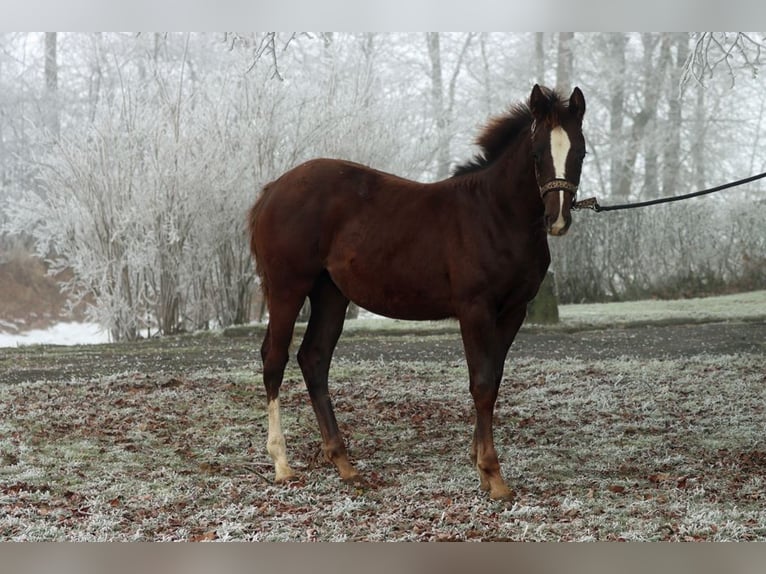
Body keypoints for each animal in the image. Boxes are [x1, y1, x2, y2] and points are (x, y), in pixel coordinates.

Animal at [249, 83, 584, 502]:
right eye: (538, 153)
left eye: (580, 152)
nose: (557, 219)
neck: (495, 213)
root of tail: (272, 190)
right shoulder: (475, 308)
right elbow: (482, 383)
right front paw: (493, 475)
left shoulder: (513, 311)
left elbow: (494, 378)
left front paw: (479, 462)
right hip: (287, 288)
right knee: (274, 359)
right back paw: (282, 463)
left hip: (331, 294)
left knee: (314, 358)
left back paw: (344, 464)